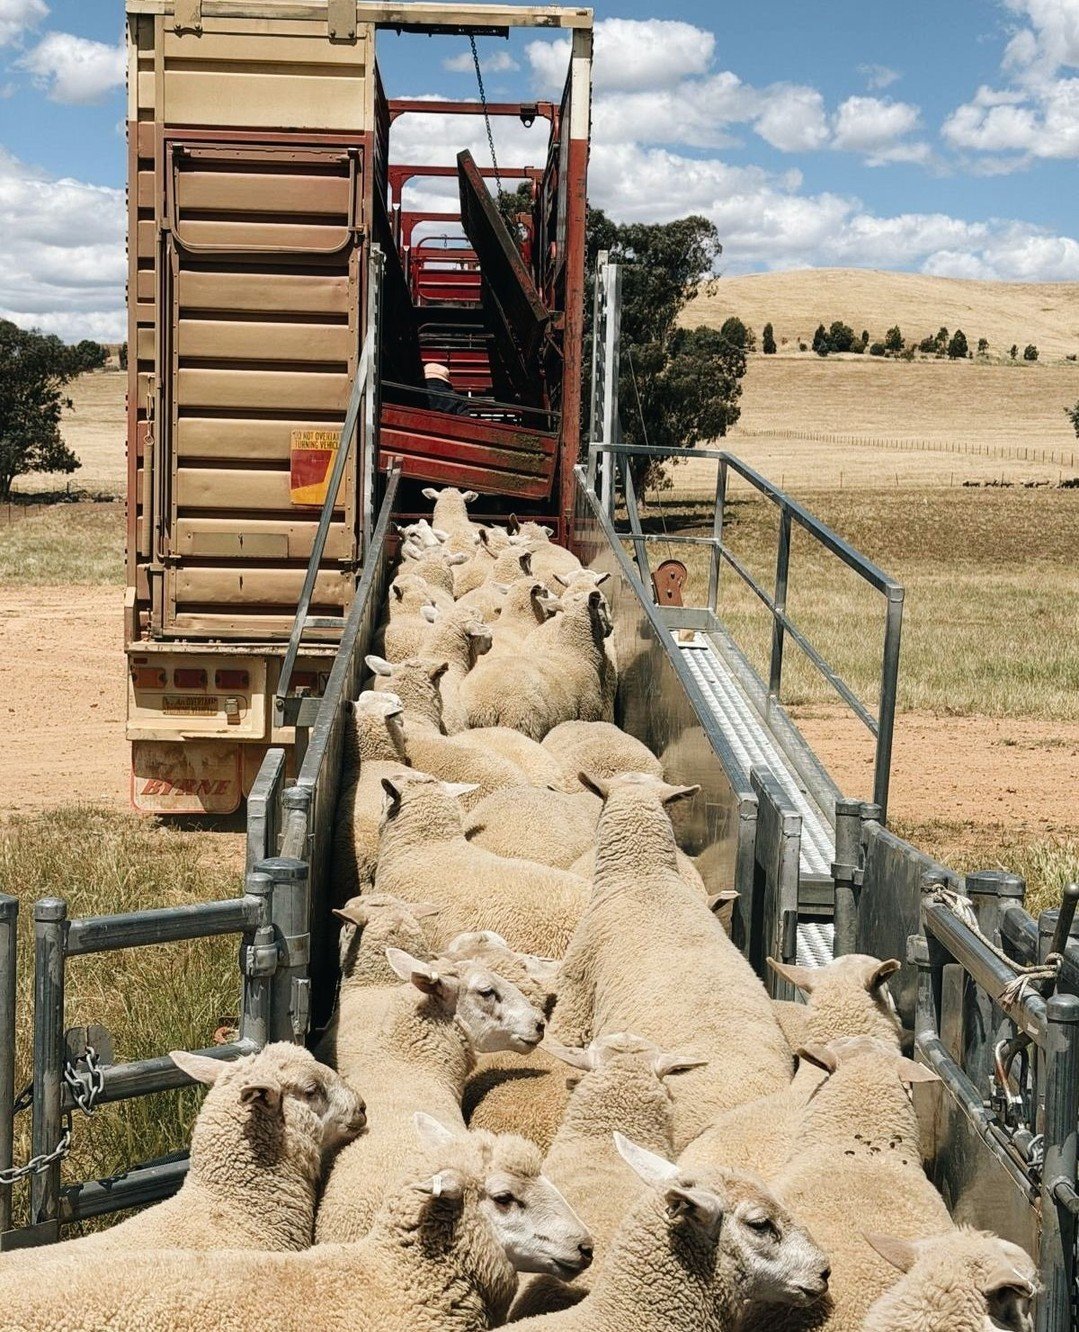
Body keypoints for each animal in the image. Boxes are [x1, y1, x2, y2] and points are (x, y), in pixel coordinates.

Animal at [460, 588, 614, 740]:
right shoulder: (588, 712)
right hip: (523, 723)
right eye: (602, 604)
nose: (611, 627)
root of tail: (484, 708)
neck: (576, 652)